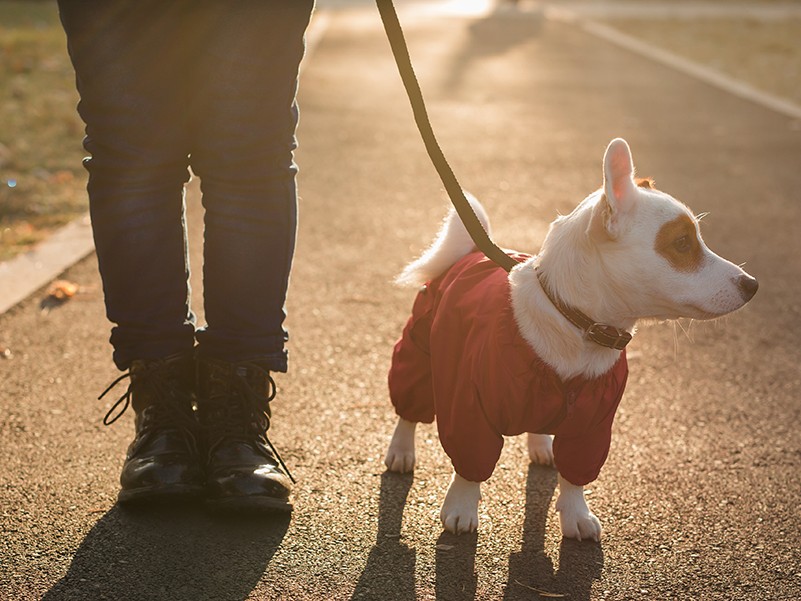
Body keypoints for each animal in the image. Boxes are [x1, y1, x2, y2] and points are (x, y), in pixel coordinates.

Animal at [382, 138, 756, 540]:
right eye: (683, 243)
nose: (752, 285)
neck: (577, 324)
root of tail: (468, 254)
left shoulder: (591, 424)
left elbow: (575, 477)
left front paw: (577, 515)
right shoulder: (468, 405)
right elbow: (470, 465)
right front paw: (461, 508)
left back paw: (541, 445)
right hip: (419, 352)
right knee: (409, 409)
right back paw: (401, 451)